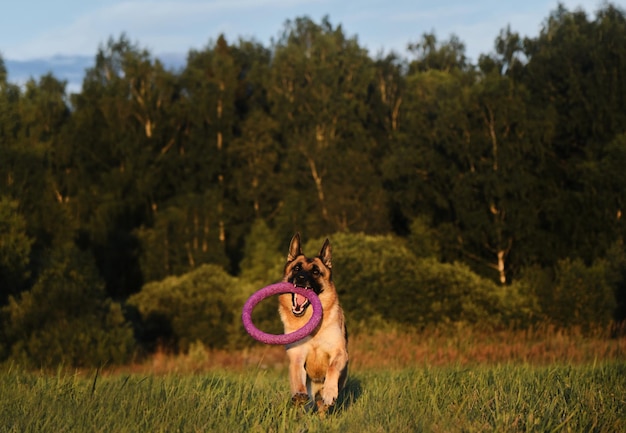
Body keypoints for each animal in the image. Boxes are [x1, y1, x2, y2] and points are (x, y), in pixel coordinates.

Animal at [276, 233, 346, 412]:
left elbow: (332, 368)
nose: (300, 278)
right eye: (296, 268)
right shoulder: (297, 356)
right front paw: (299, 394)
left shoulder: (339, 352)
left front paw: (330, 391)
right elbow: (297, 374)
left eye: (315, 271)